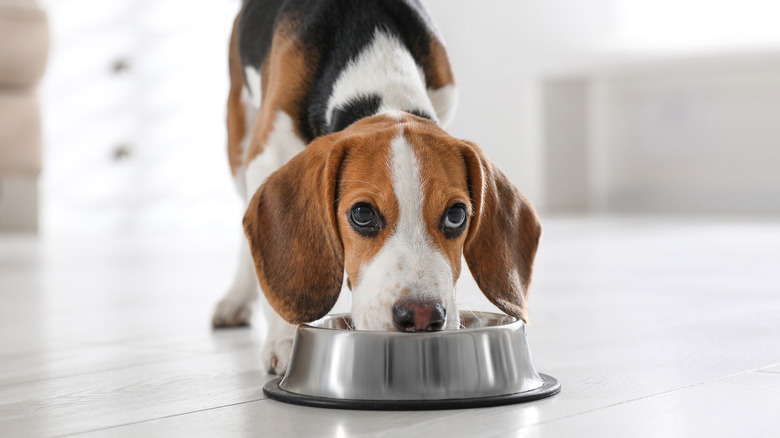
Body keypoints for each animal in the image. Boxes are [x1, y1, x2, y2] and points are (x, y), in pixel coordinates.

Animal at [213, 0, 544, 376]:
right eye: (362, 214)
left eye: (457, 215)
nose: (421, 316)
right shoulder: (267, 155)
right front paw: (284, 339)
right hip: (239, 133)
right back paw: (235, 299)